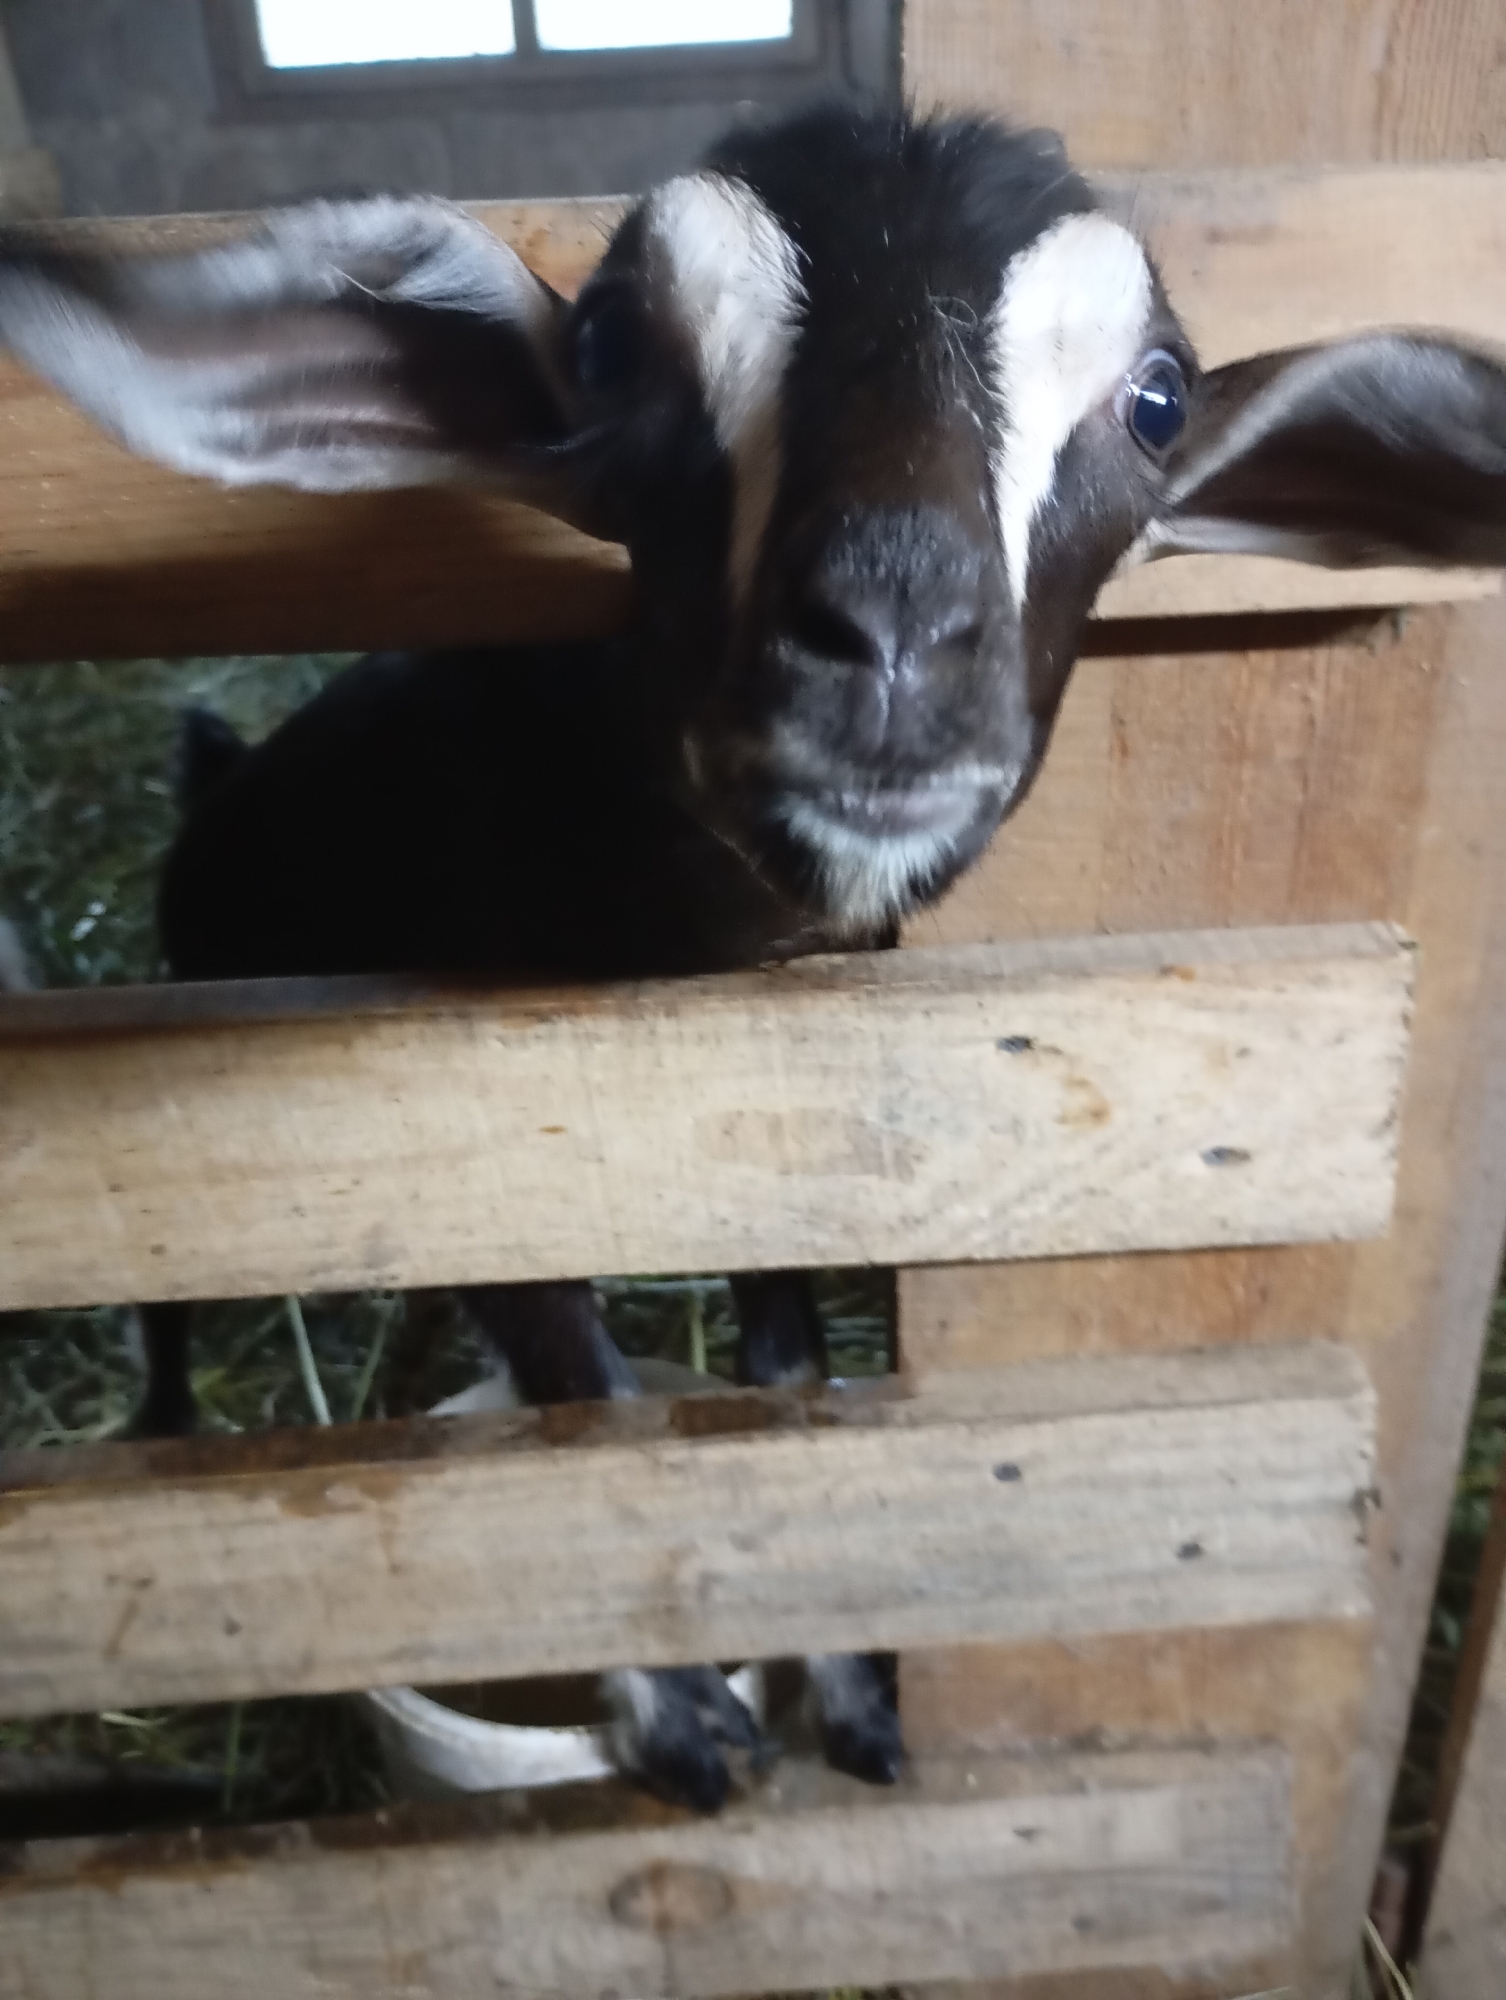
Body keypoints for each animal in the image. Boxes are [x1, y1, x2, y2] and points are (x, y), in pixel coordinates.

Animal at [5, 103, 1506, 1810]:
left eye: (1158, 397)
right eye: (604, 347)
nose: (891, 642)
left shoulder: (763, 1147)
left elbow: (787, 1381)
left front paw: (846, 1694)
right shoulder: (489, 1145)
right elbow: (583, 1398)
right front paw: (677, 1721)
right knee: (171, 1305)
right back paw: (163, 1419)